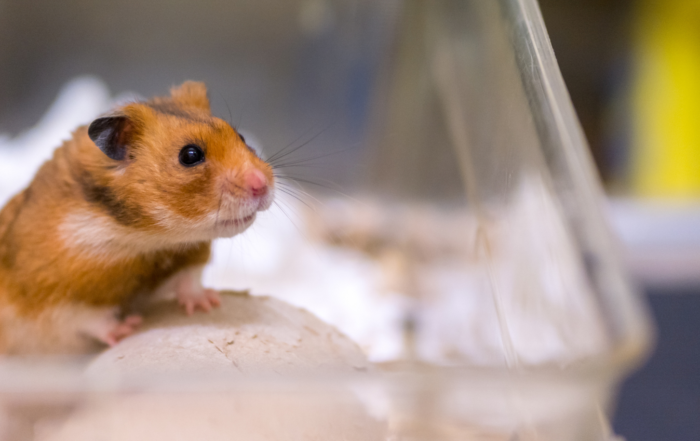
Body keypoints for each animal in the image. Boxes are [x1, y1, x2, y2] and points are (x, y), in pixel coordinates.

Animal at [0, 82, 274, 354]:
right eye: (190, 155)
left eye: (241, 137)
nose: (262, 185)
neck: (142, 238)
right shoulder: (56, 296)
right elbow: (90, 319)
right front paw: (128, 329)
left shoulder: (187, 256)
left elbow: (190, 279)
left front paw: (208, 302)